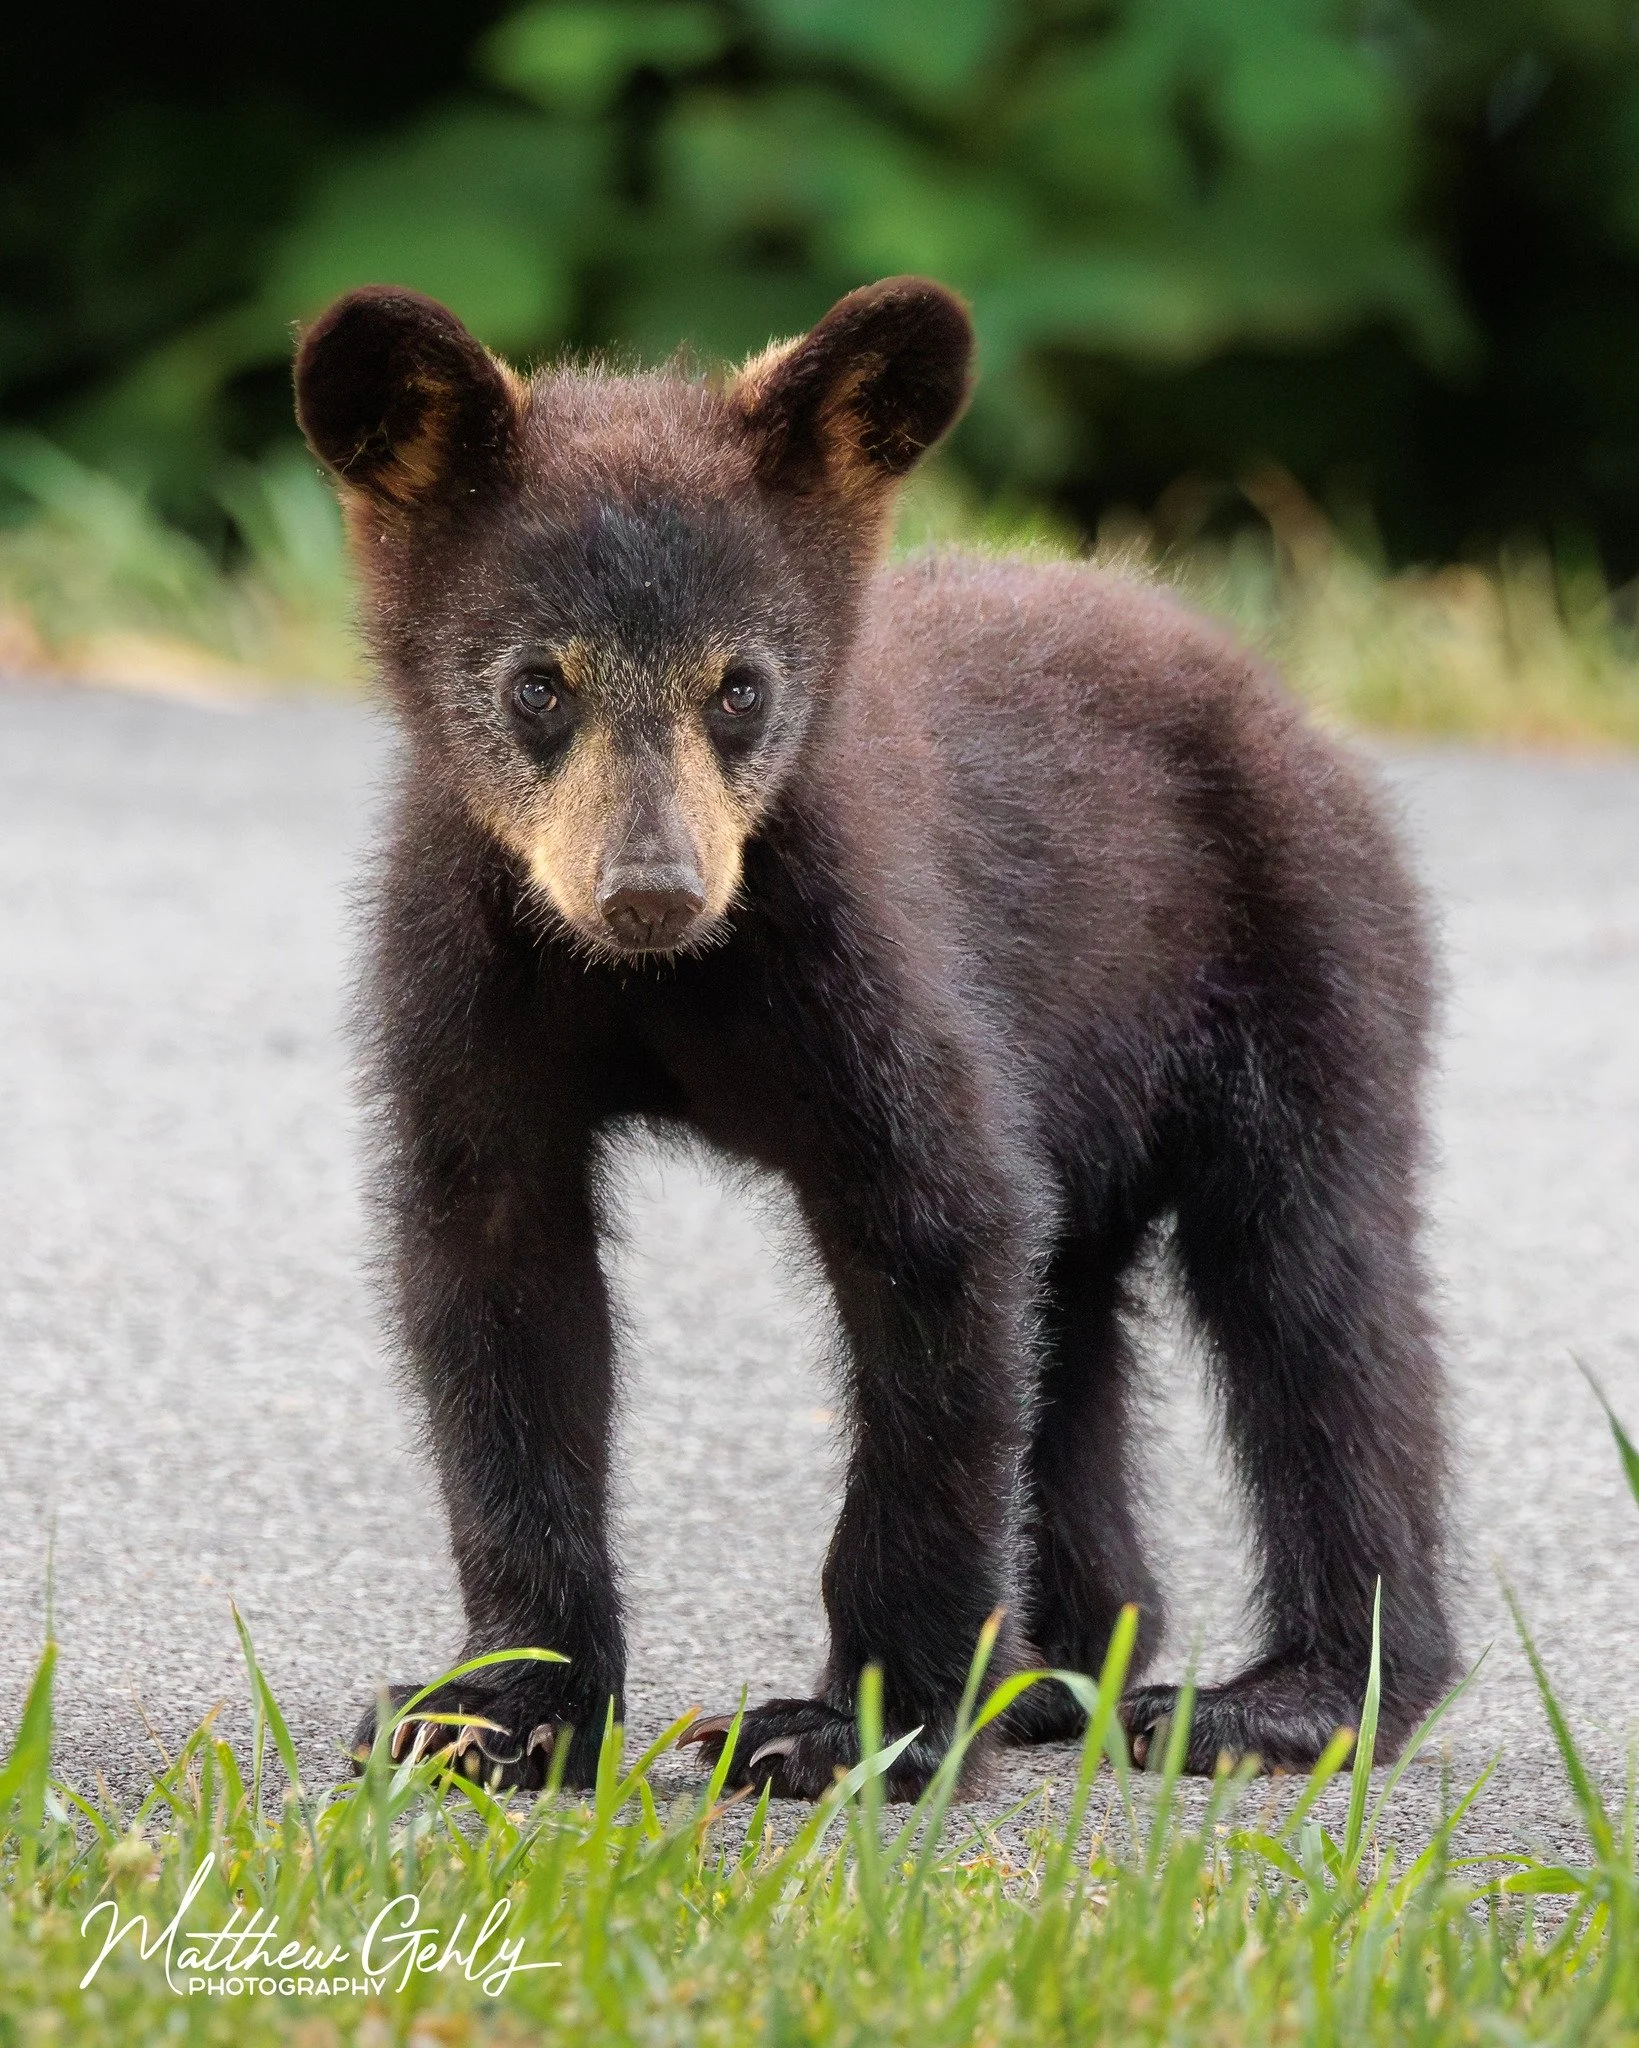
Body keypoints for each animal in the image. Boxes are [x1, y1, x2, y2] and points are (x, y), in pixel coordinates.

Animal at [293, 275, 1455, 1799]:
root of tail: (1272, 696)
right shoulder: (469, 971)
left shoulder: (865, 953)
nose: (650, 891)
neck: (656, 986)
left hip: (1300, 958)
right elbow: (496, 1291)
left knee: (1315, 1298)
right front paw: (494, 1710)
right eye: (538, 683)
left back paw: (1287, 1702)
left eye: (739, 685)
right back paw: (1056, 1672)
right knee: (1073, 1323)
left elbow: (939, 1240)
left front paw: (850, 1728)